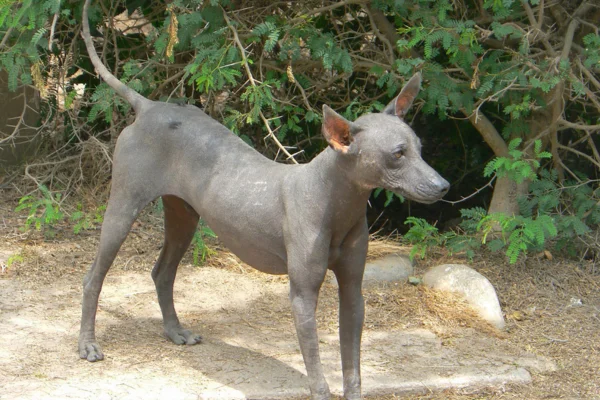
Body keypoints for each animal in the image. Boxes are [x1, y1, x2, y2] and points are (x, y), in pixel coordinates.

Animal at [77, 1, 448, 398]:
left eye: (419, 147)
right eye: (397, 154)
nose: (443, 185)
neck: (333, 200)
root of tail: (149, 107)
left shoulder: (353, 291)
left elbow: (353, 369)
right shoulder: (302, 295)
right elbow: (317, 374)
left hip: (184, 215)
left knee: (162, 272)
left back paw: (175, 331)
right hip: (123, 206)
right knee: (93, 276)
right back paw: (87, 345)